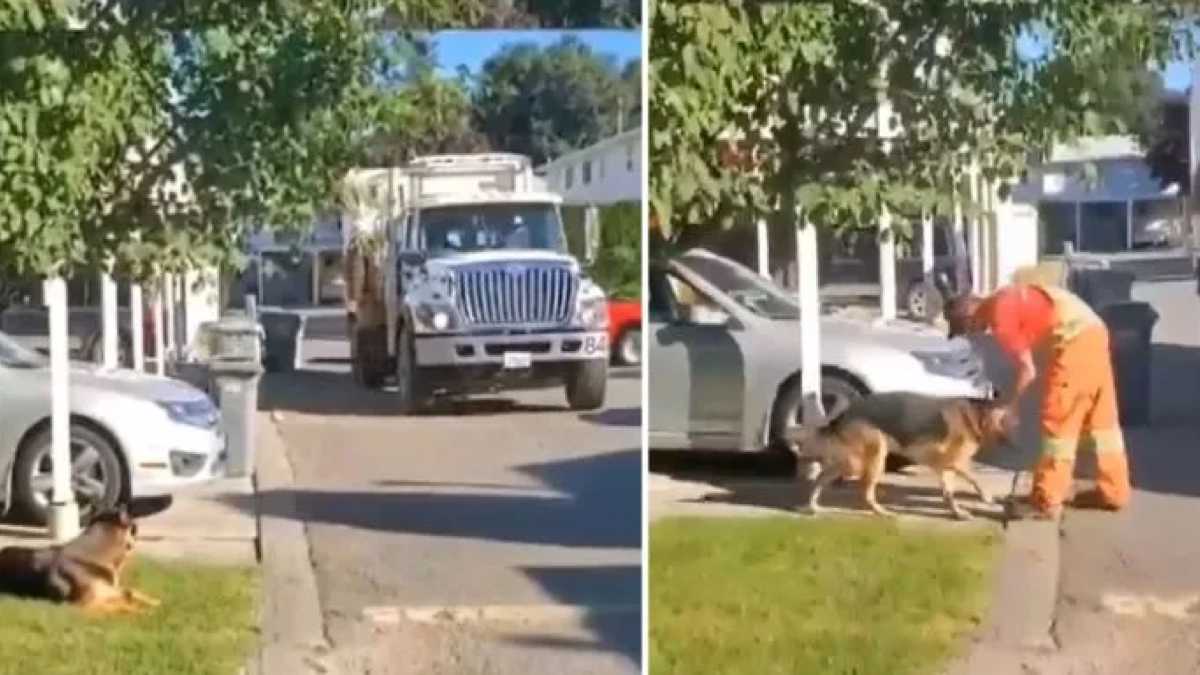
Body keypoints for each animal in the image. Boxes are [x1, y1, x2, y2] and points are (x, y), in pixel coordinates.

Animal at [782, 391, 1017, 516]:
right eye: (1010, 420)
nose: (1016, 438)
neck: (976, 416)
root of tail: (844, 414)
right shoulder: (953, 463)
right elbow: (975, 479)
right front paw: (986, 497)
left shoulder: (944, 468)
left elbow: (949, 494)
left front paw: (957, 513)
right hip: (871, 458)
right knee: (864, 491)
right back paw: (881, 512)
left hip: (850, 462)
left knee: (822, 478)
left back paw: (813, 506)